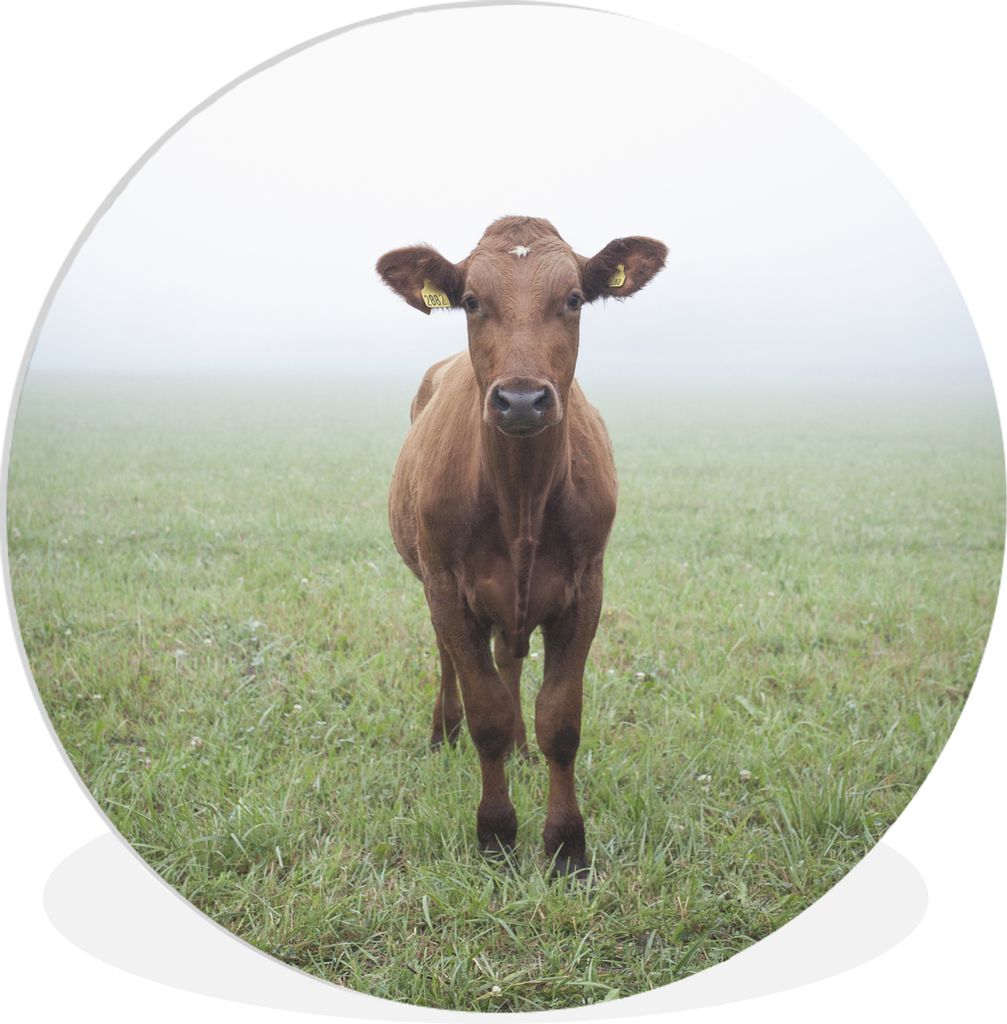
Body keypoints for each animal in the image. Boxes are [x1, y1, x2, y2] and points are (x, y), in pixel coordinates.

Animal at [377, 216, 667, 876]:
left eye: (575, 299)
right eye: (471, 301)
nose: (521, 400)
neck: (522, 501)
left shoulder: (586, 588)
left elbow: (560, 720)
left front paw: (565, 845)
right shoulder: (447, 587)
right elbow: (485, 713)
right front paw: (496, 834)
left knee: (509, 660)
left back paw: (521, 749)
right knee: (452, 662)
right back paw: (444, 735)